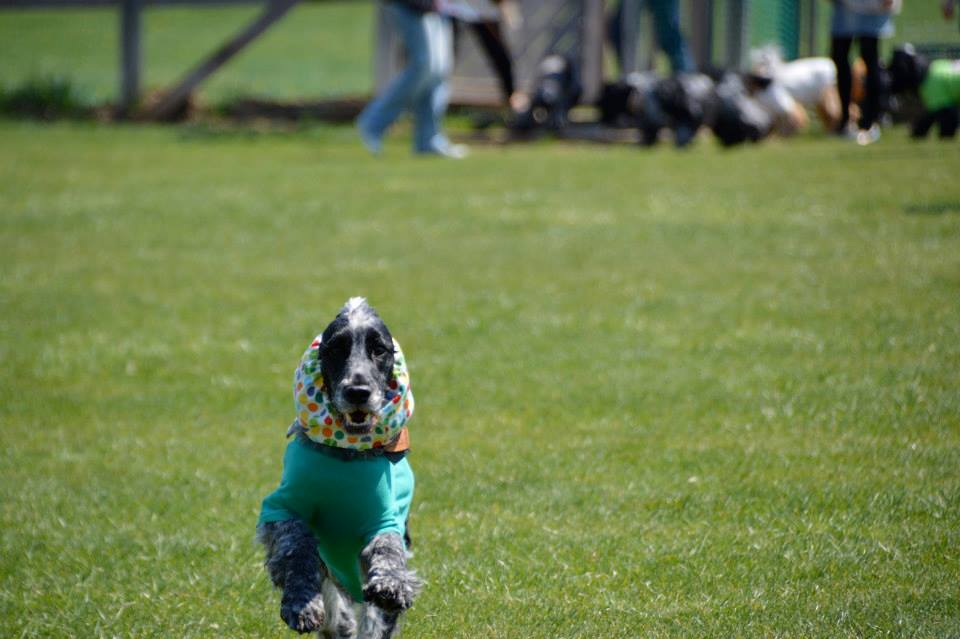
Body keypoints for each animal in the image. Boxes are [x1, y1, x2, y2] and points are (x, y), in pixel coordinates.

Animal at [257, 297, 420, 639]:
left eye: (379, 349)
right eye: (336, 349)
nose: (358, 391)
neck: (347, 453)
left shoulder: (385, 516)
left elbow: (388, 548)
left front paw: (391, 584)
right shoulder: (281, 507)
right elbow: (296, 545)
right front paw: (302, 606)